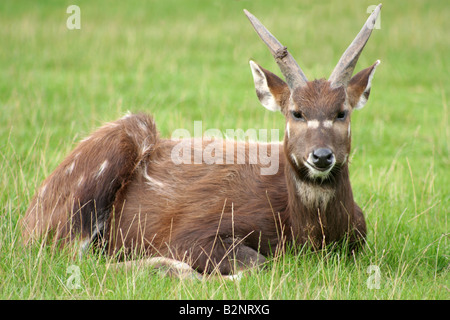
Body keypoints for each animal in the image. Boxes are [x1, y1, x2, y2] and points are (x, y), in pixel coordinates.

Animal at [20, 5, 380, 280]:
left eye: (342, 112)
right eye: (296, 112)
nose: (321, 156)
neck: (305, 234)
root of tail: (27, 220)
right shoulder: (189, 233)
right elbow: (258, 264)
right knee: (67, 257)